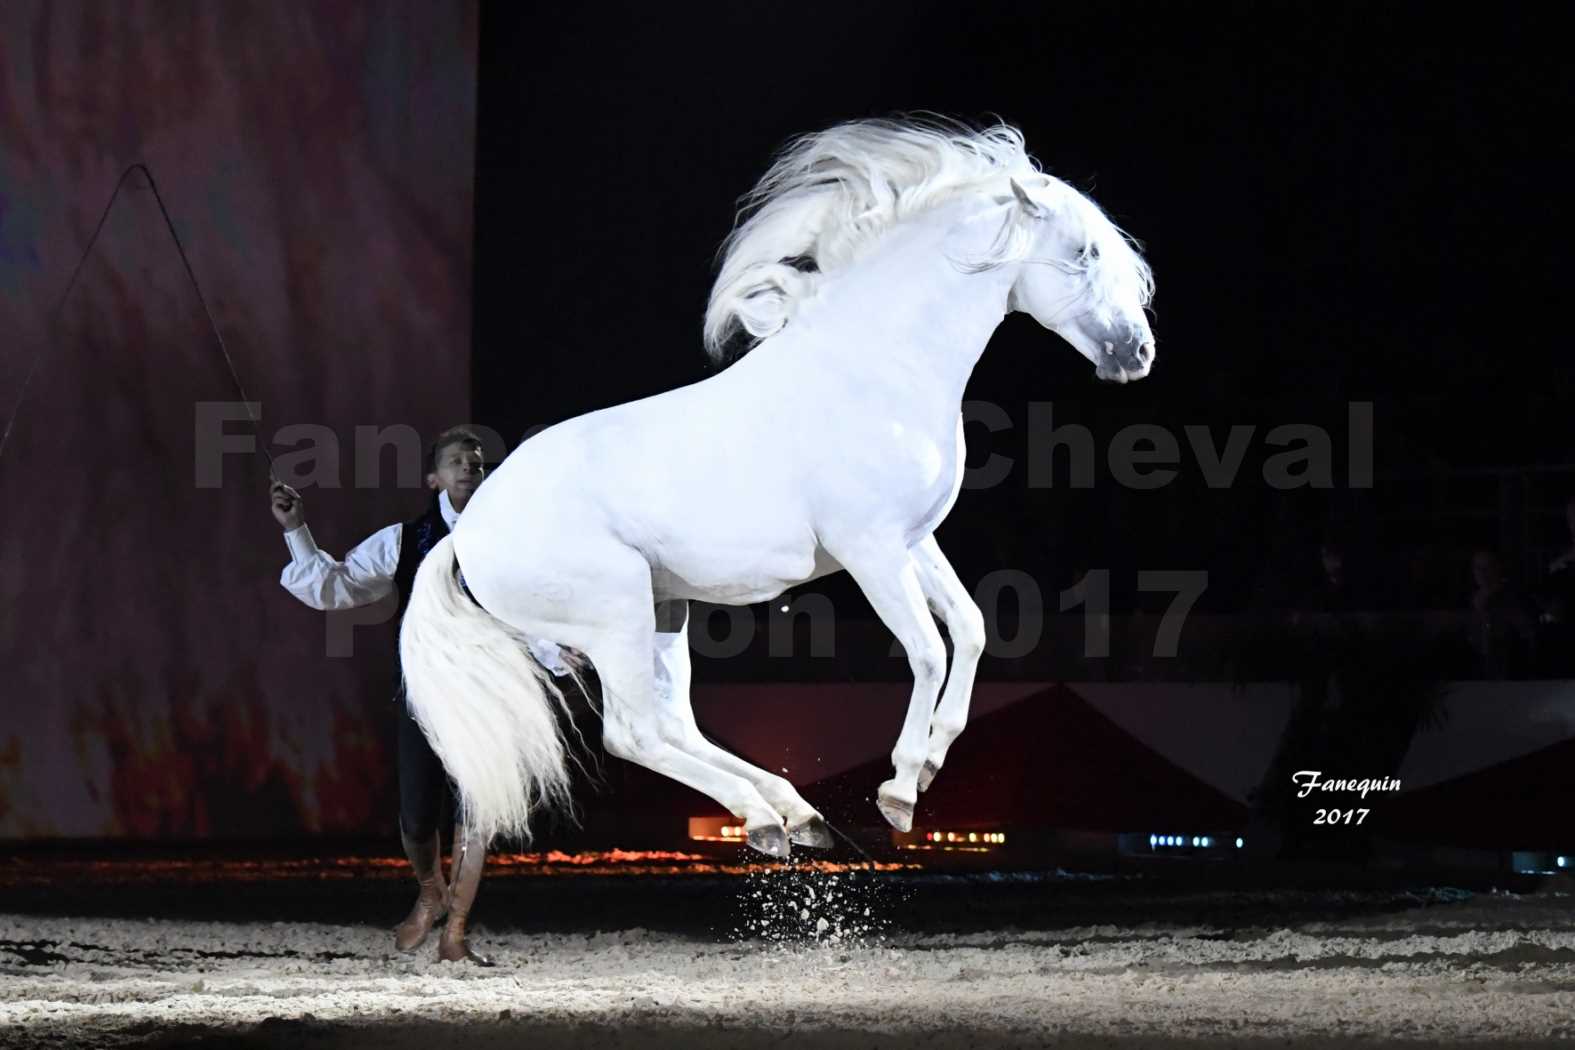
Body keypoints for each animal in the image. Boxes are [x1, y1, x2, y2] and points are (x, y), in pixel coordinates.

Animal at [400, 117, 1152, 856]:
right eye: (1084, 252)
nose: (1137, 353)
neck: (876, 366)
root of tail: (467, 533)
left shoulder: (912, 541)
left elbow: (967, 630)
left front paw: (932, 762)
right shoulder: (869, 551)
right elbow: (927, 650)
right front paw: (900, 791)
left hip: (662, 612)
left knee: (675, 726)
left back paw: (796, 814)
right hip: (613, 616)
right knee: (633, 734)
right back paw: (765, 820)